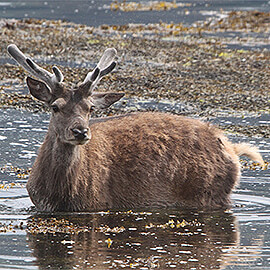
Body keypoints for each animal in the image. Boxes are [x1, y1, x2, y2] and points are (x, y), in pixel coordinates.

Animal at [6, 44, 264, 213]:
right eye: (55, 107)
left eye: (90, 108)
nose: (80, 132)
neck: (58, 194)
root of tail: (232, 148)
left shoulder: (97, 203)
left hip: (211, 193)